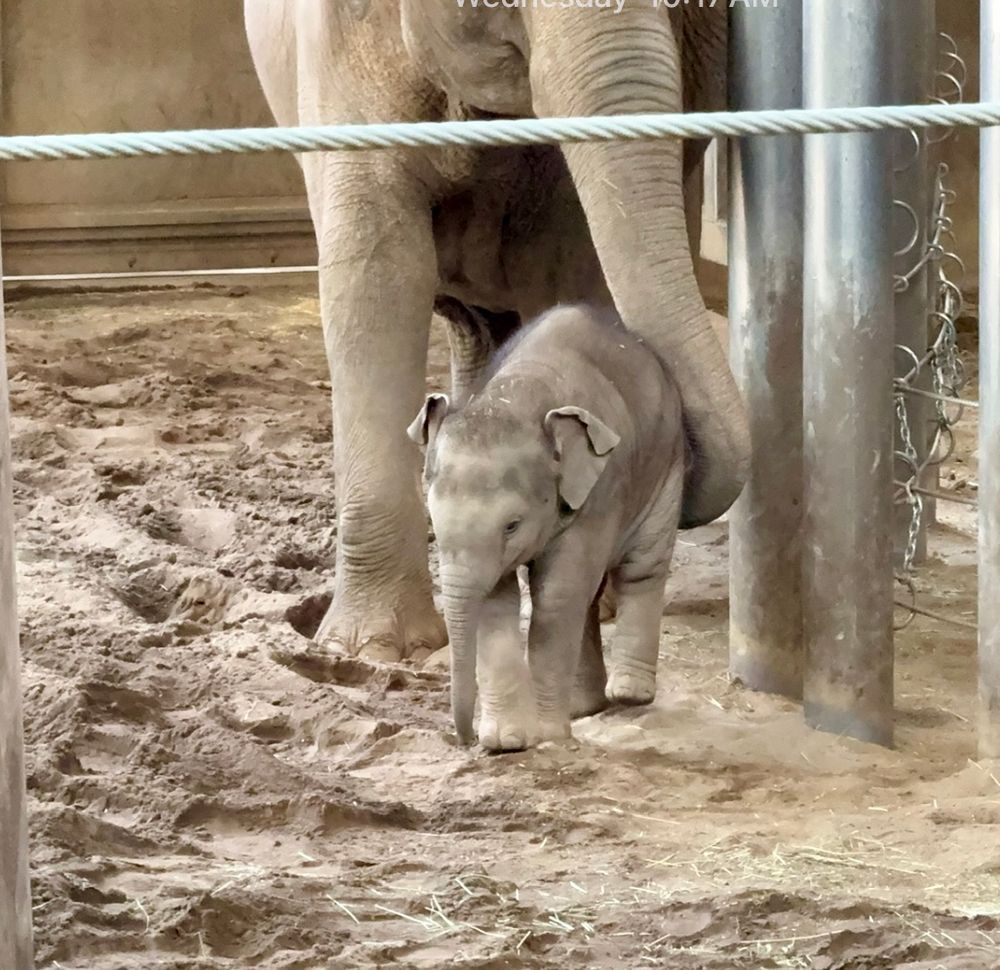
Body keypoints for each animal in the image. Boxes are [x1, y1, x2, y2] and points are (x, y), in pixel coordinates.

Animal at [408, 303, 685, 750]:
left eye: (512, 526)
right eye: (433, 521)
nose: (463, 740)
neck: (519, 393)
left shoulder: (598, 491)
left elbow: (557, 595)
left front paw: (548, 736)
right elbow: (498, 601)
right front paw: (505, 742)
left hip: (667, 466)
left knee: (641, 569)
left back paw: (629, 694)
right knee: (589, 598)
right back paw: (583, 706)